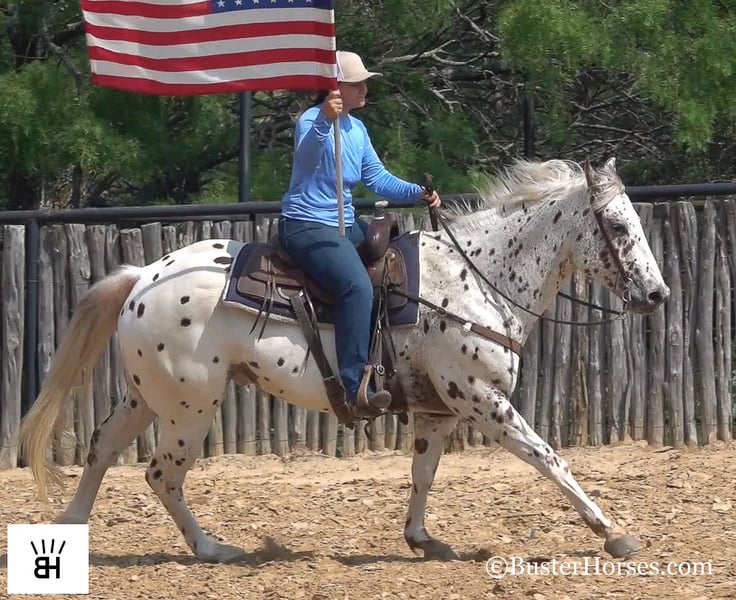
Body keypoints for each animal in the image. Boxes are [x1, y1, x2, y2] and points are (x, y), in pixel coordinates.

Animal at [20, 158, 668, 564]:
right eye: (616, 225)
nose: (658, 294)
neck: (477, 279)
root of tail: (142, 277)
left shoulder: (438, 412)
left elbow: (423, 473)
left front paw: (421, 538)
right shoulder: (484, 401)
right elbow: (549, 459)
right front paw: (613, 532)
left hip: (146, 396)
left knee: (103, 448)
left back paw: (72, 530)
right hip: (189, 406)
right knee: (162, 473)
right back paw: (213, 549)